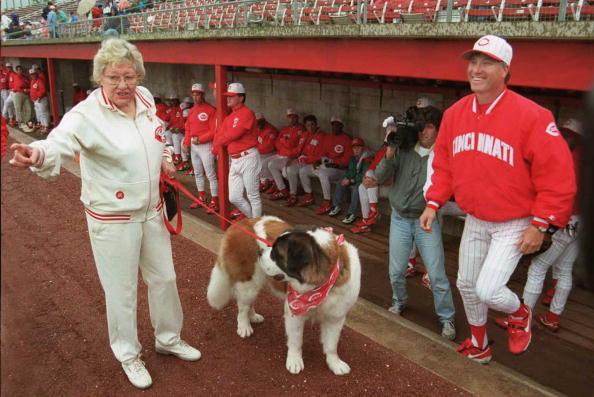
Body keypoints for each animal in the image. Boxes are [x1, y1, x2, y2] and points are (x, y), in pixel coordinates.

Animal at [206, 215, 358, 372]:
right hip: (248, 283)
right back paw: (244, 326)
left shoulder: (336, 317)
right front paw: (295, 361)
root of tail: (242, 222)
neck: (321, 285)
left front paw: (335, 363)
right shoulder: (294, 312)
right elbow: (296, 340)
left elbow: (332, 344)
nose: (259, 253)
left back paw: (252, 316)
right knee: (242, 307)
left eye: (276, 254)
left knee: (248, 304)